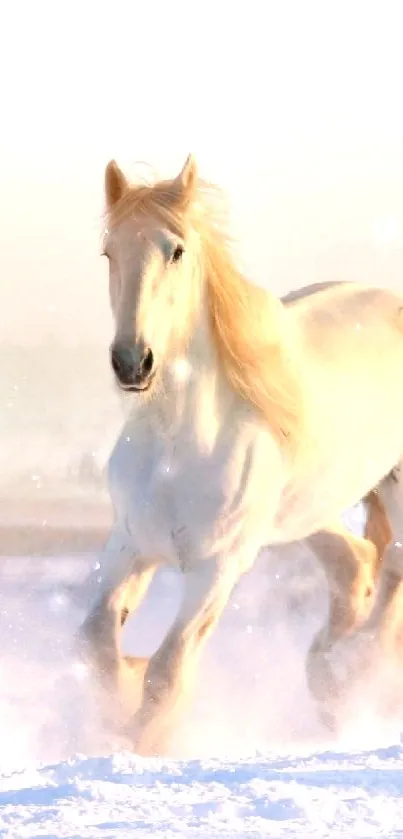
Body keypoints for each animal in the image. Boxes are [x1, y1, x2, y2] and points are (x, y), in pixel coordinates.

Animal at [79, 156, 403, 756]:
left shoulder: (217, 568)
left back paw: (353, 677)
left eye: (176, 250)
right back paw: (328, 677)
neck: (178, 447)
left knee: (390, 567)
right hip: (306, 511)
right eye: (109, 252)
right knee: (356, 565)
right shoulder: (131, 544)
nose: (133, 362)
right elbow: (95, 642)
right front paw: (109, 717)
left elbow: (168, 670)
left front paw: (138, 746)